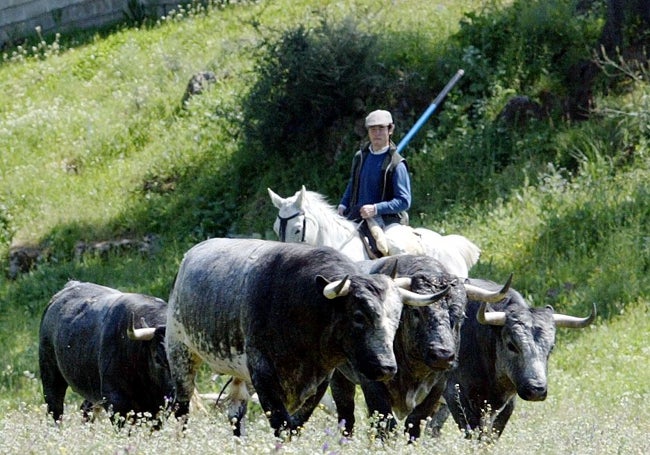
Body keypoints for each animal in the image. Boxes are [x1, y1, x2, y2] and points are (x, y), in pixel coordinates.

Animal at [332, 255, 508, 440]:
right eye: (416, 311)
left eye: (460, 315)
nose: (442, 355)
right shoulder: (373, 384)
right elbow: (386, 424)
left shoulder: (437, 388)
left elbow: (415, 423)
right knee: (346, 411)